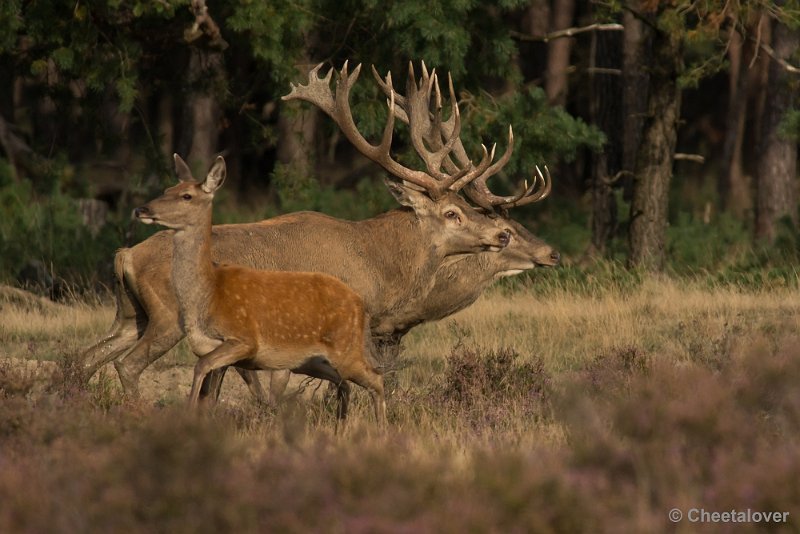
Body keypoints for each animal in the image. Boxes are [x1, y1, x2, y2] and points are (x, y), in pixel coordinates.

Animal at [134, 156, 384, 428]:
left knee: (376, 378)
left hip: (345, 348)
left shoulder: (244, 338)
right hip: (311, 361)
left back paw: (381, 426)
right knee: (345, 383)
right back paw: (342, 425)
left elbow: (200, 368)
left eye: (187, 196)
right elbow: (207, 393)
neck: (207, 293)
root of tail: (359, 303)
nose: (142, 209)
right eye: (167, 189)